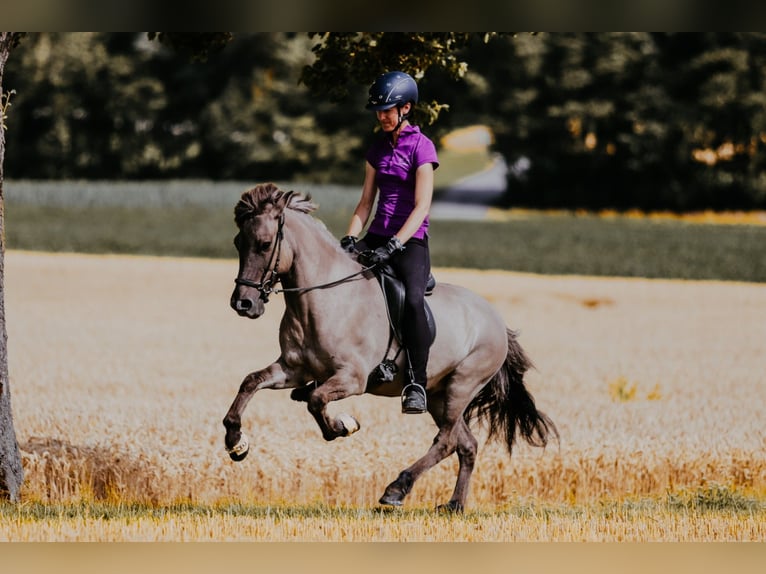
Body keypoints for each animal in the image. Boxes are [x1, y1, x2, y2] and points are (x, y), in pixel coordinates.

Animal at [223, 182, 558, 512]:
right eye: (238, 242)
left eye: (265, 244)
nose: (243, 304)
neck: (322, 299)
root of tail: (497, 320)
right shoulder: (293, 369)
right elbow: (251, 382)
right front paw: (236, 442)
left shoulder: (352, 379)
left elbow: (316, 401)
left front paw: (343, 426)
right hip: (438, 394)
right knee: (466, 444)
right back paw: (453, 505)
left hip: (462, 386)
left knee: (446, 441)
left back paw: (397, 489)